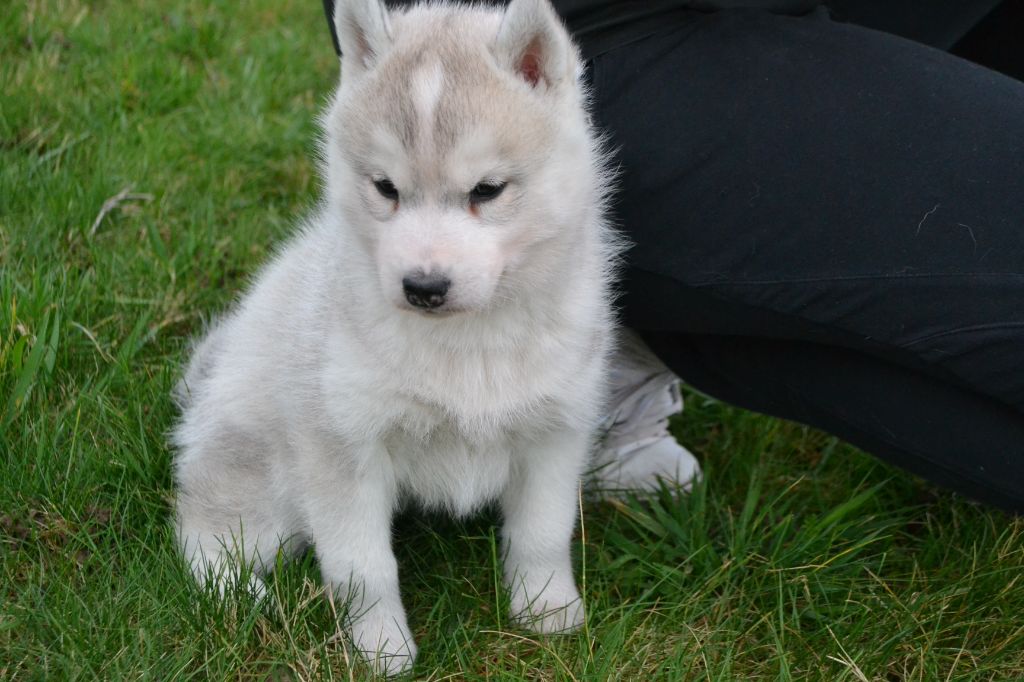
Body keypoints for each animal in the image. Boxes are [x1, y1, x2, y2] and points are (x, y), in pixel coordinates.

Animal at [174, 0, 614, 667]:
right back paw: (245, 599)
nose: (423, 286)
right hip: (264, 474)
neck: (466, 347)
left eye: (487, 190)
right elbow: (364, 568)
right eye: (386, 188)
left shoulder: (556, 430)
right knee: (204, 526)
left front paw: (549, 613)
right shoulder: (341, 443)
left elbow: (543, 532)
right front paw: (381, 649)